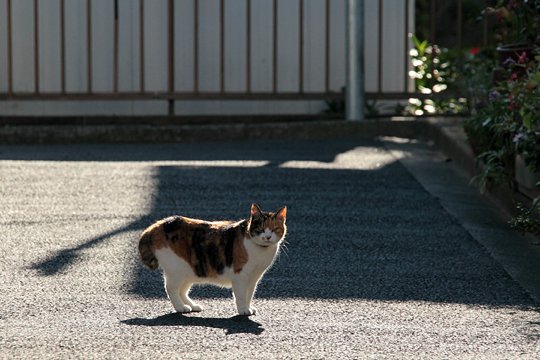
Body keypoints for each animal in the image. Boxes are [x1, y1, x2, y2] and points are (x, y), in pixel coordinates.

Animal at [140, 204, 286, 316]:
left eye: (274, 229)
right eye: (261, 228)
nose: (267, 237)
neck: (260, 250)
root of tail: (157, 225)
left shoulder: (254, 277)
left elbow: (249, 294)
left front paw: (248, 307)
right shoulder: (240, 276)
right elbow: (240, 295)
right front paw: (243, 310)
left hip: (189, 271)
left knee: (182, 291)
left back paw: (192, 306)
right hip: (176, 270)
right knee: (171, 288)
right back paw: (180, 307)